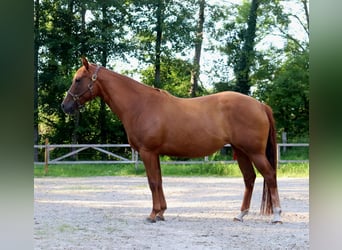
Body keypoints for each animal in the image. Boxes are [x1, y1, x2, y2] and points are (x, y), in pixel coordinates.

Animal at [60, 57, 280, 224]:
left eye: (78, 80)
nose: (65, 106)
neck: (140, 105)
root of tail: (260, 105)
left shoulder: (147, 152)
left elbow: (152, 182)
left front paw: (152, 214)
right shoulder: (154, 153)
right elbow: (159, 181)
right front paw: (161, 212)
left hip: (254, 152)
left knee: (269, 175)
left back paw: (276, 215)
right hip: (241, 151)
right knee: (249, 179)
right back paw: (240, 214)